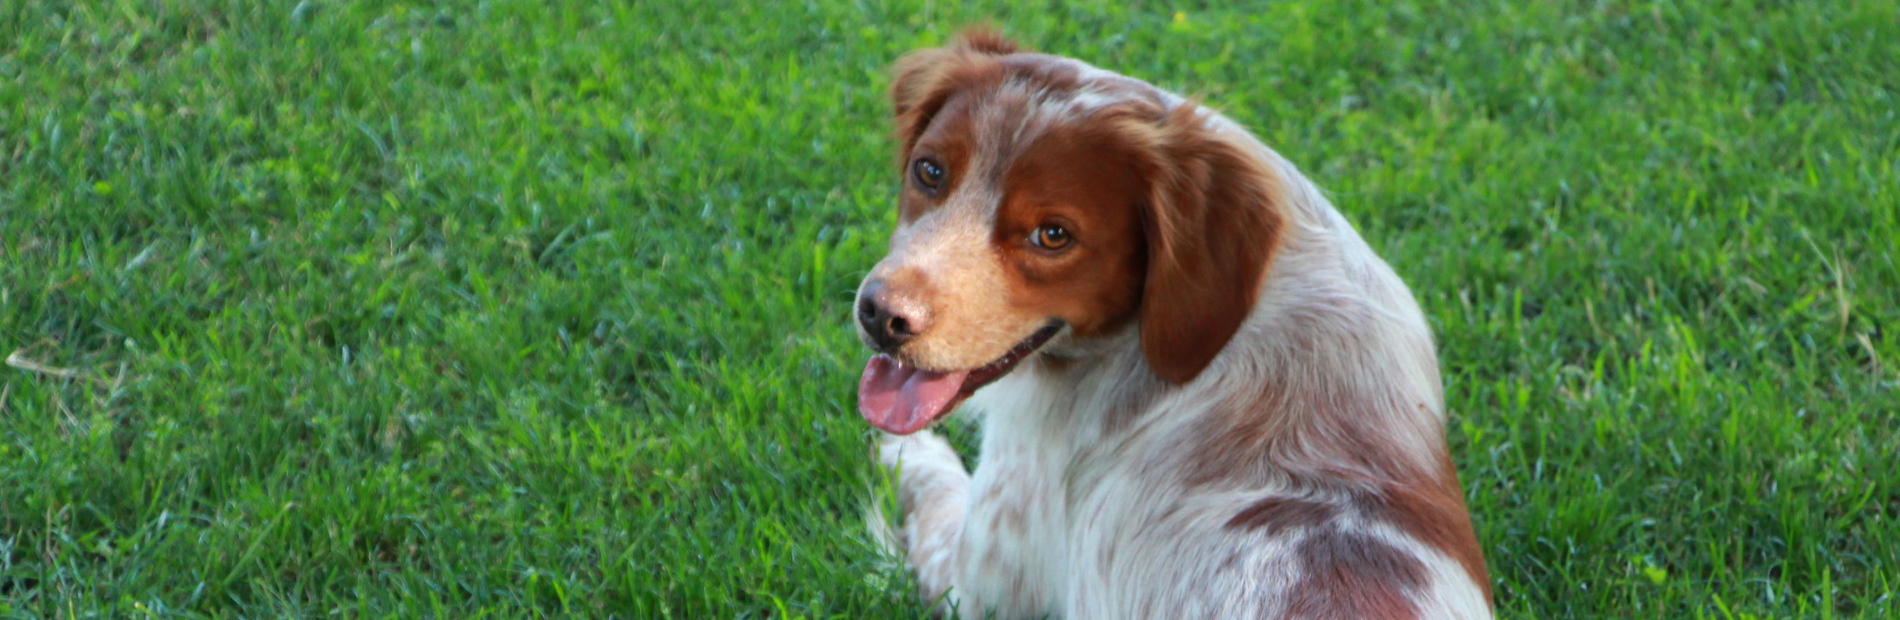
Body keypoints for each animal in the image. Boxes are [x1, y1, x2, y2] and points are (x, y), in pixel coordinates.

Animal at [855, 30, 1489, 620]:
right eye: (929, 171)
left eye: (1053, 235)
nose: (881, 315)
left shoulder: (978, 578)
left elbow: (929, 480)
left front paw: (902, 450)